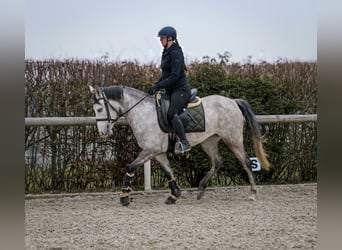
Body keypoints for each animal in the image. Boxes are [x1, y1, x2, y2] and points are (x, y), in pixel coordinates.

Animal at [89, 85, 272, 206]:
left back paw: (252, 194)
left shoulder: (150, 150)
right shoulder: (158, 153)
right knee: (218, 161)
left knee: (246, 162)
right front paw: (174, 195)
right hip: (209, 141)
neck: (143, 113)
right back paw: (201, 189)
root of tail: (233, 102)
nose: (103, 133)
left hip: (233, 139)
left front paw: (124, 196)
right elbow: (168, 171)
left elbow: (131, 167)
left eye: (99, 109)